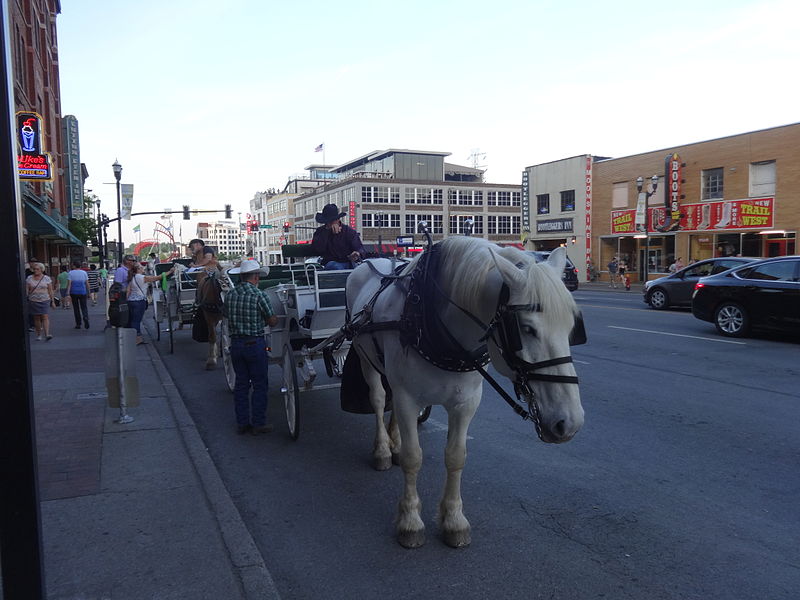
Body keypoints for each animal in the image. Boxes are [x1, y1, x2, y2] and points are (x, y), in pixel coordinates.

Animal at [346, 237, 584, 548]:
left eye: (572, 327)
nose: (569, 423)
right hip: (366, 359)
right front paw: (410, 520)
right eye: (526, 329)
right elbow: (413, 457)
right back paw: (384, 450)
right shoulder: (408, 398)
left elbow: (456, 457)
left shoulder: (466, 403)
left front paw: (453, 520)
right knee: (377, 399)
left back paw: (394, 441)